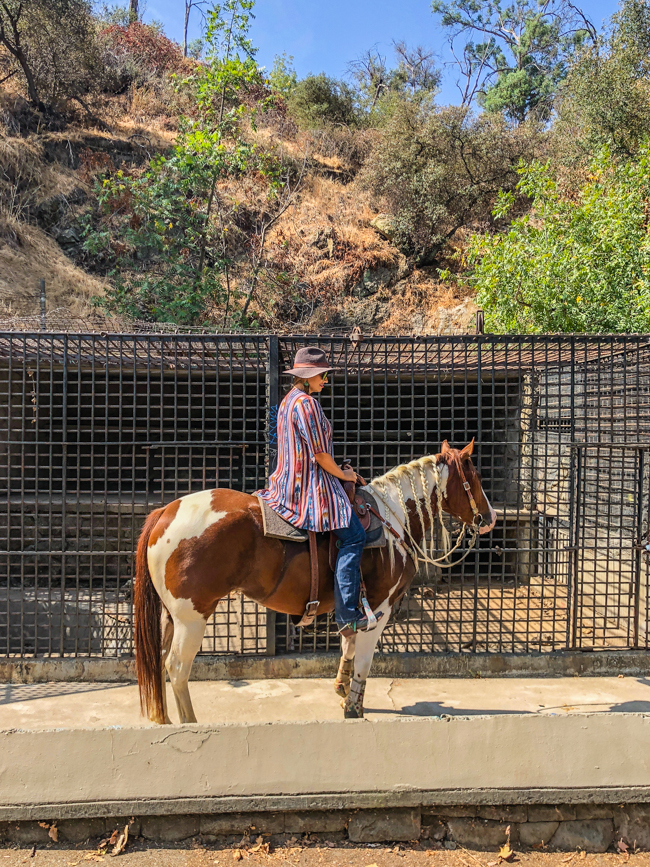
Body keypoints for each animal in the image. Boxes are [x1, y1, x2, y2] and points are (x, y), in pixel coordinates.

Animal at [134, 440, 494, 724]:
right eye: (475, 479)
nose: (488, 519)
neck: (392, 518)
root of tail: (166, 511)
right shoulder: (380, 608)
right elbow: (364, 659)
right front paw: (353, 707)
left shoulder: (352, 605)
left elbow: (349, 645)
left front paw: (341, 689)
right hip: (192, 617)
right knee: (177, 668)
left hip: (170, 616)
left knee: (159, 663)